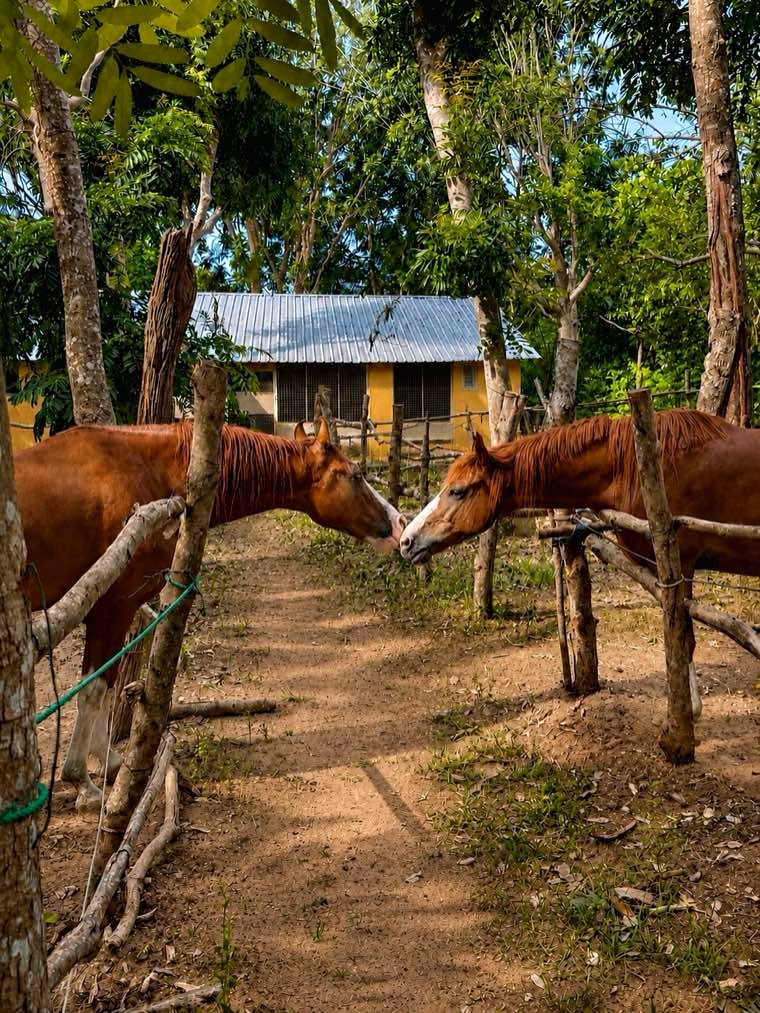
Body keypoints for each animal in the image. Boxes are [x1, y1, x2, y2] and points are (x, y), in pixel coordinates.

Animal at [16, 416, 404, 809]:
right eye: (355, 474)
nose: (400, 523)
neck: (143, 470)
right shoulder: (112, 608)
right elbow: (94, 689)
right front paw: (81, 780)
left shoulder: (108, 612)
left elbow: (105, 686)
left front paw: (107, 762)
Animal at [400, 409, 760, 715]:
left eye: (458, 491)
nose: (406, 540)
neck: (637, 466)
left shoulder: (680, 567)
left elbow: (685, 638)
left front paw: (687, 716)